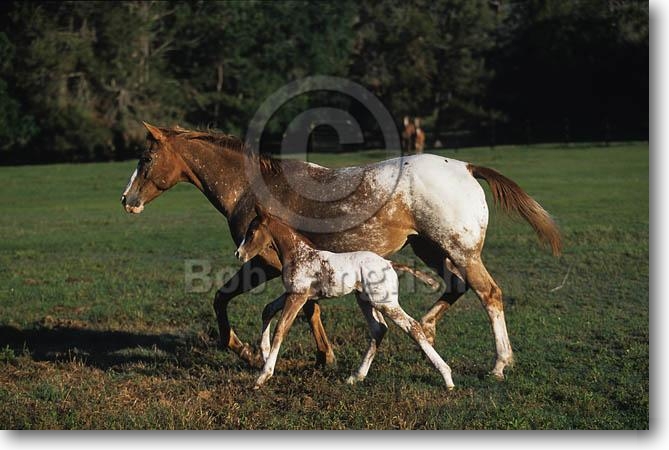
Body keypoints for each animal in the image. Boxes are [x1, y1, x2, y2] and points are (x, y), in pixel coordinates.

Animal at [234, 206, 454, 388]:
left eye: (251, 232)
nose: (239, 254)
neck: (299, 254)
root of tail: (390, 263)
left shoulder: (298, 296)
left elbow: (281, 329)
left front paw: (263, 376)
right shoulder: (294, 293)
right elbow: (268, 310)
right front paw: (263, 353)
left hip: (384, 302)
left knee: (412, 326)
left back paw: (447, 378)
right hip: (365, 300)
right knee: (379, 329)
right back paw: (356, 377)